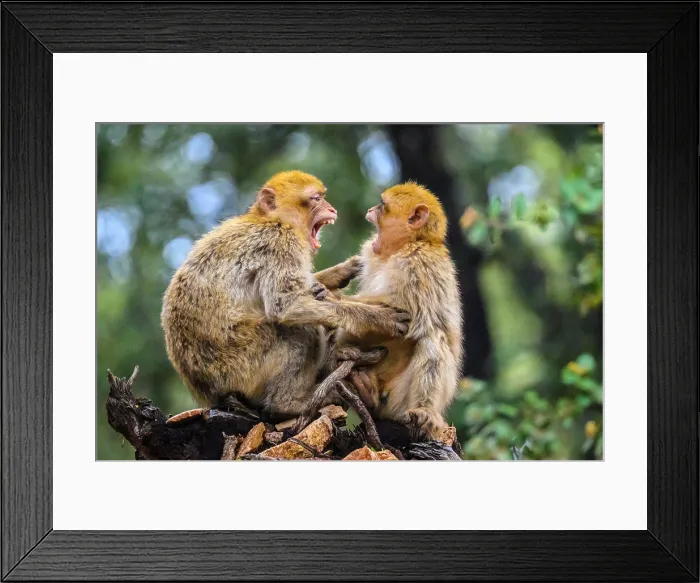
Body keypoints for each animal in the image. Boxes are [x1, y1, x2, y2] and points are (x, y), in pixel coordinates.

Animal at [160, 170, 410, 422]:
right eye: (316, 198)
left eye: (323, 197)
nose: (332, 209)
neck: (270, 219)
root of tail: (207, 392)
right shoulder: (281, 242)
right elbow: (285, 306)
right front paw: (377, 318)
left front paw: (338, 273)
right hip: (237, 368)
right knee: (296, 331)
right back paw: (288, 404)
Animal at [314, 182, 462, 440]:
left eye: (382, 205)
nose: (371, 209)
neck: (402, 248)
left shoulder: (419, 263)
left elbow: (416, 319)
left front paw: (332, 301)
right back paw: (367, 393)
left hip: (398, 402)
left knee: (433, 336)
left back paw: (423, 411)